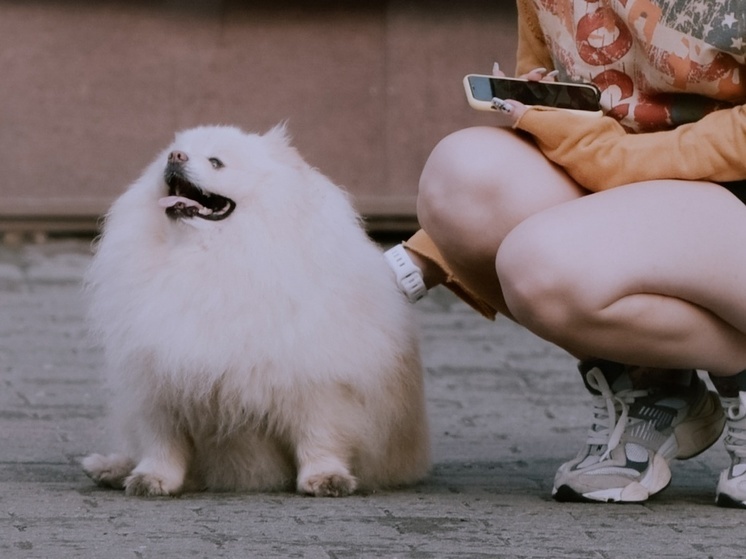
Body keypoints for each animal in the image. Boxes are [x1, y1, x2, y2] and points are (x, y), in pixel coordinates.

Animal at [80, 124, 430, 496]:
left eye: (216, 162)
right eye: (171, 153)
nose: (175, 157)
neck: (209, 256)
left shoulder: (317, 385)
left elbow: (319, 437)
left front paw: (324, 478)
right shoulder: (158, 381)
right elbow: (162, 444)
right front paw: (152, 478)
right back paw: (109, 468)